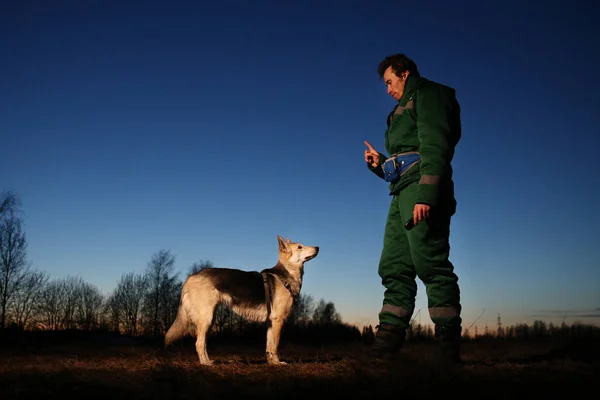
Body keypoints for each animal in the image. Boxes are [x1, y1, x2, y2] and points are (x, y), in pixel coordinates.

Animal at [164, 234, 318, 366]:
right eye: (300, 247)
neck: (286, 274)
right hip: (206, 319)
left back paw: (209, 361)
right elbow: (275, 346)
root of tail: (190, 278)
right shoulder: (278, 320)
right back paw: (206, 364)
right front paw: (277, 363)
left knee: (202, 343)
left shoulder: (271, 322)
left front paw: (271, 363)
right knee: (199, 344)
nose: (318, 247)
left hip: (209, 319)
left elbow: (269, 346)